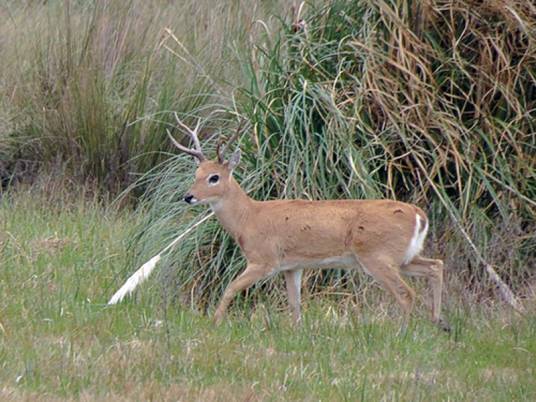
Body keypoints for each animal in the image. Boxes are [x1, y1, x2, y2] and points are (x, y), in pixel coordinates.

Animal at [170, 119, 450, 332]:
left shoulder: (264, 260)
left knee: (406, 293)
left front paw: (214, 323)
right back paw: (439, 322)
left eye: (214, 177)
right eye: (196, 175)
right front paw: (297, 331)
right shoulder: (292, 266)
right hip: (402, 257)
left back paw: (401, 333)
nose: (188, 196)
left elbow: (230, 288)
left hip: (377, 255)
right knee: (435, 266)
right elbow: (295, 303)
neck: (248, 218)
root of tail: (418, 214)